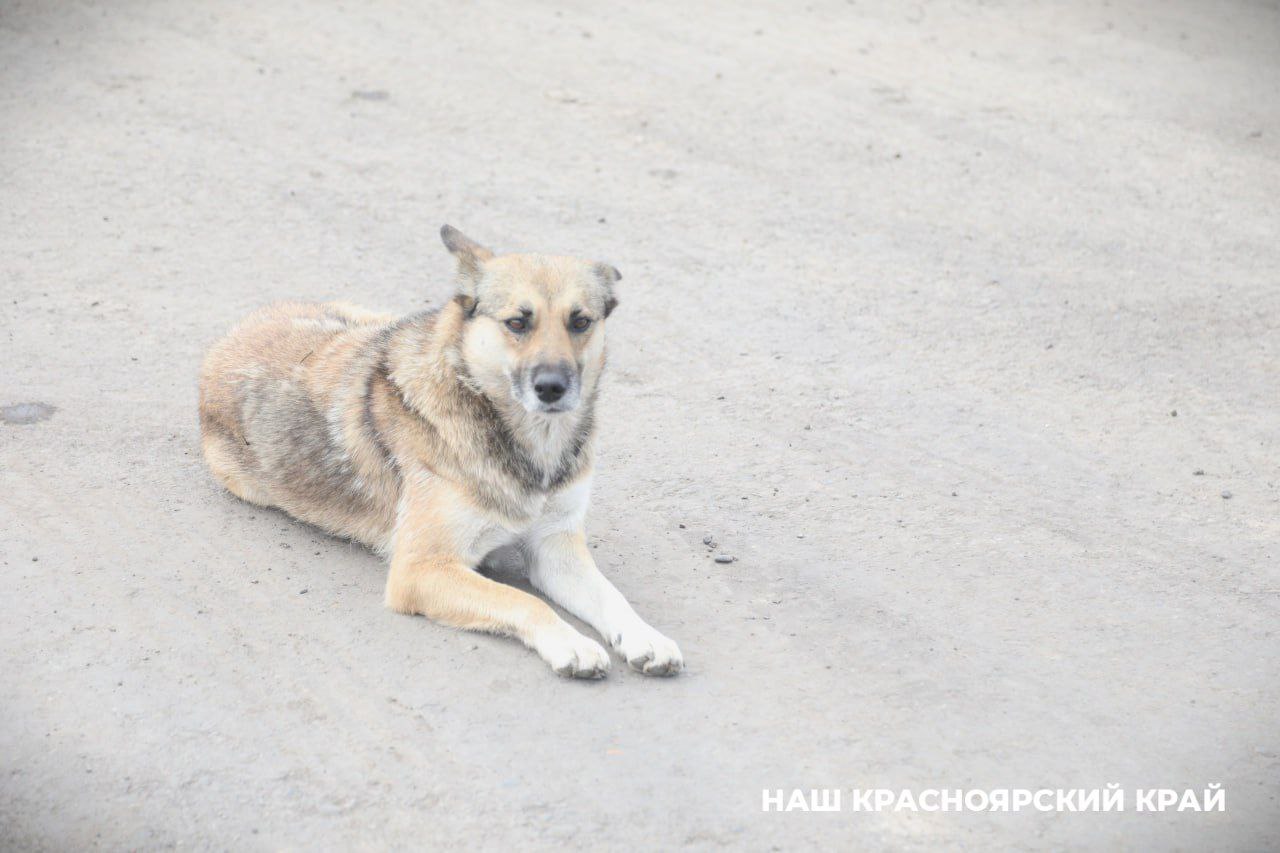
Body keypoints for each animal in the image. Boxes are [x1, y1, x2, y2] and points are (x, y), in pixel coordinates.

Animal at [195, 225, 686, 676]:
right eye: (517, 322)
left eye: (580, 321)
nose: (552, 388)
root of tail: (231, 334)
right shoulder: (422, 570)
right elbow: (524, 601)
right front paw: (572, 643)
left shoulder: (555, 550)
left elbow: (613, 597)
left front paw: (645, 635)